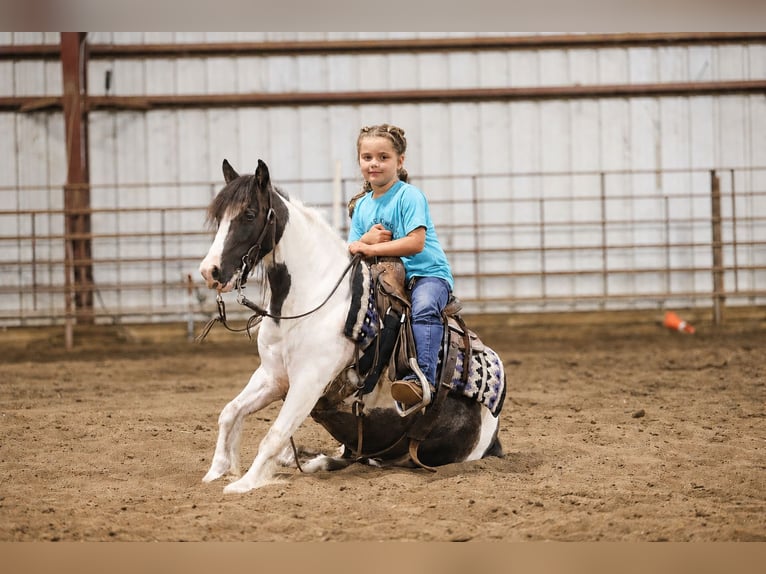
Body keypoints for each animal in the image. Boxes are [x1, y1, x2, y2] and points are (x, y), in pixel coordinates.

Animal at [198, 158, 506, 493]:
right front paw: (217, 470)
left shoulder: (309, 380)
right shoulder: (273, 376)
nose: (209, 271)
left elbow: (275, 434)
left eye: (249, 214)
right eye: (219, 217)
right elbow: (230, 413)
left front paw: (245, 483)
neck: (310, 300)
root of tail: (492, 438)